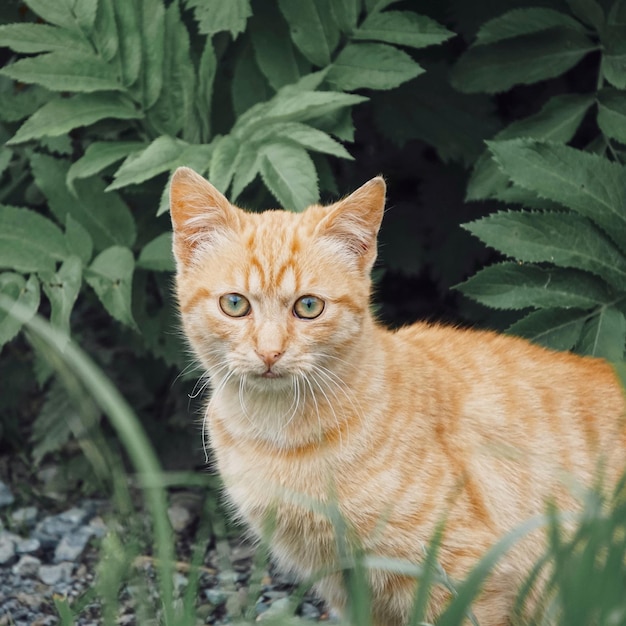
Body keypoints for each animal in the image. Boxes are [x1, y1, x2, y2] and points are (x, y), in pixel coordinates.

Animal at [168, 167, 620, 624]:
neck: (278, 432)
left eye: (309, 306)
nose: (270, 352)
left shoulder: (461, 574)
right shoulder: (344, 584)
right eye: (235, 304)